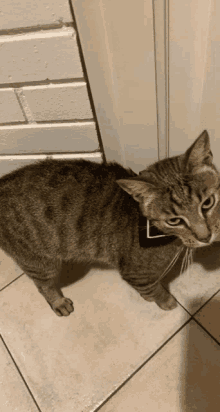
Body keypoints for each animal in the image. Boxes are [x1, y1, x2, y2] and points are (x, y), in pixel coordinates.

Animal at [0, 130, 217, 318]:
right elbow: (154, 289)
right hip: (40, 262)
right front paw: (165, 301)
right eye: (174, 220)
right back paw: (58, 302)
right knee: (43, 286)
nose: (206, 237)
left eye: (208, 203)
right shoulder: (135, 273)